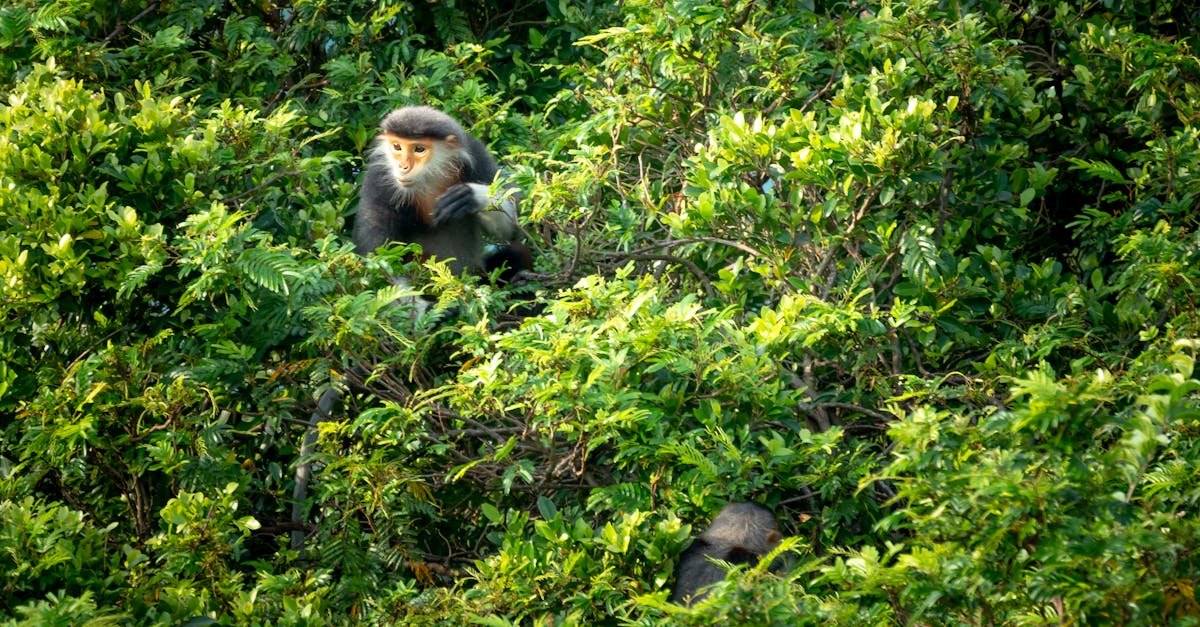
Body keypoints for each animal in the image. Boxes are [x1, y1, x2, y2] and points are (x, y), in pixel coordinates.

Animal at [350, 105, 532, 278]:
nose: (403, 167)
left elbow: (515, 228)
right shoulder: (378, 177)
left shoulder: (477, 154)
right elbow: (378, 257)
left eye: (419, 149)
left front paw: (470, 196)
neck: (430, 178)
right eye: (397, 147)